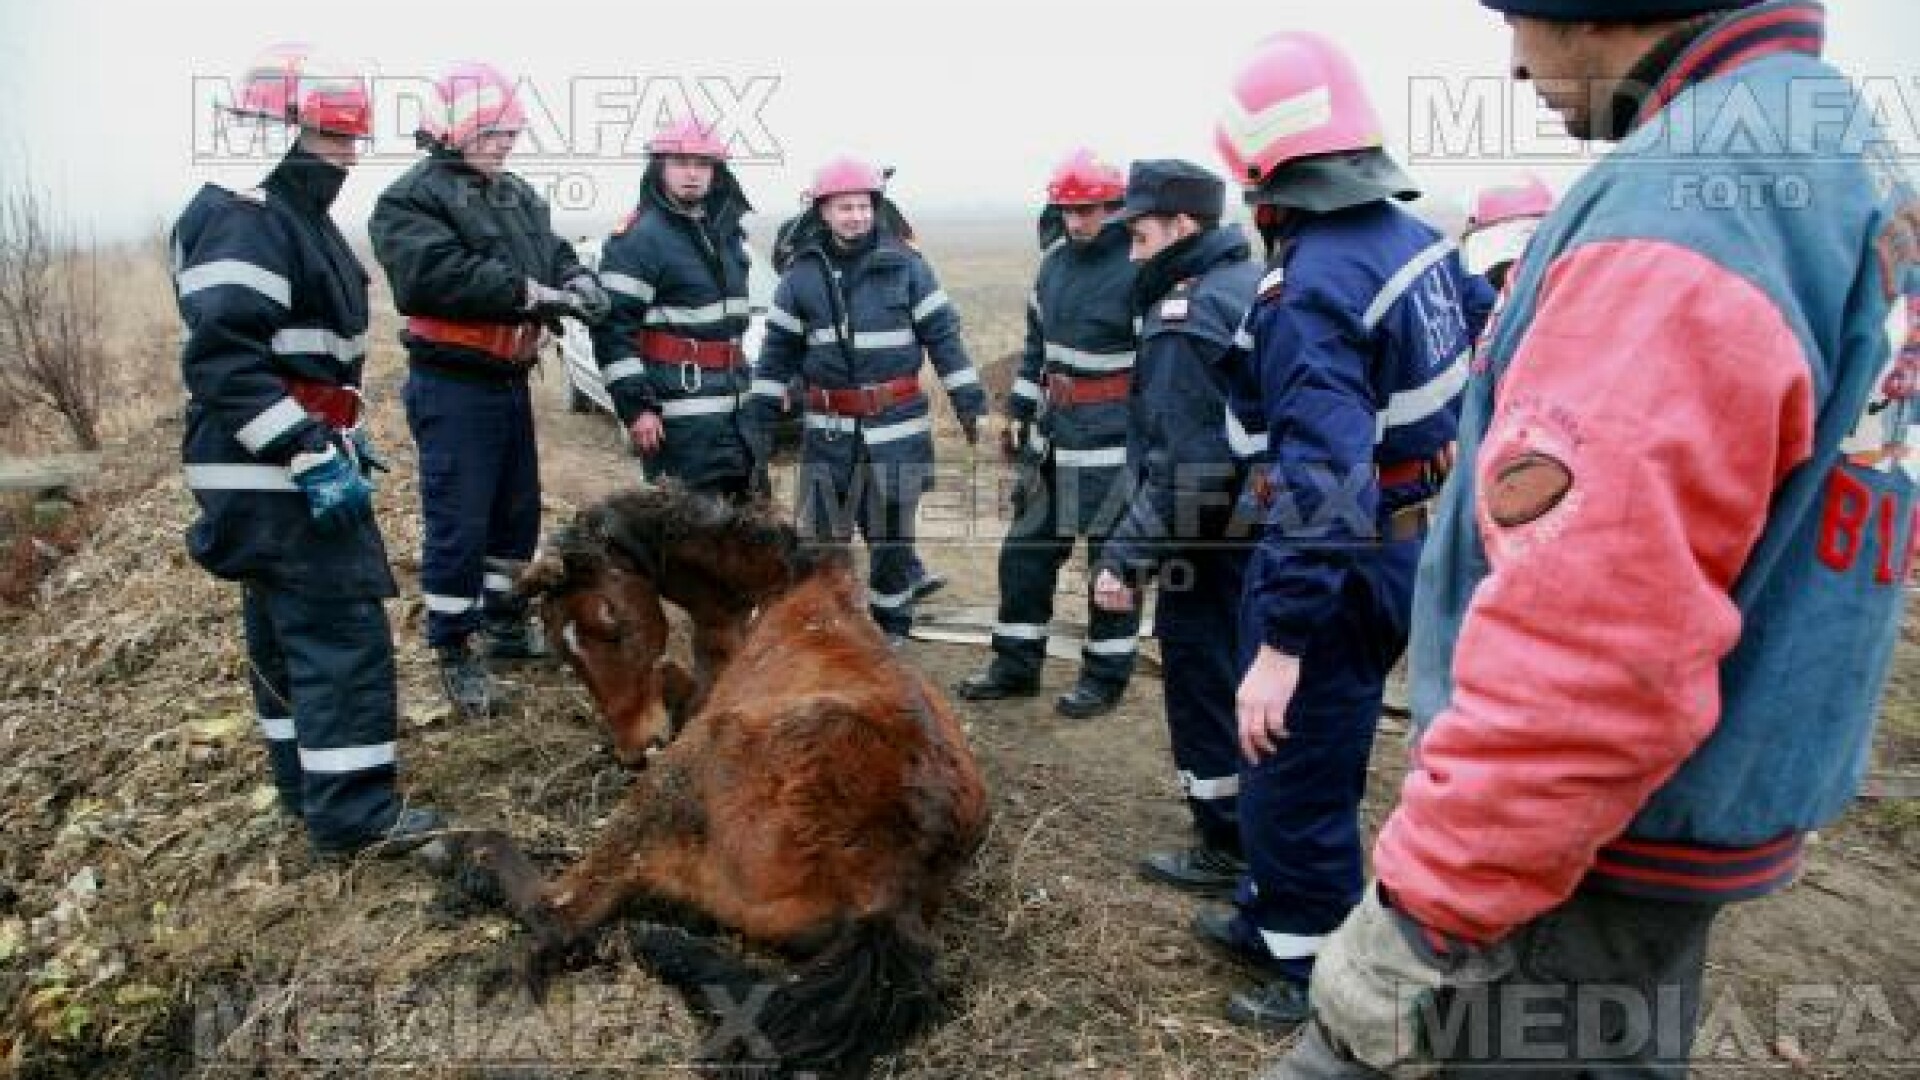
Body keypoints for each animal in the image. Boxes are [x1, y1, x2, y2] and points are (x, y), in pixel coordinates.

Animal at [451, 488, 990, 1076]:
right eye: (560, 646)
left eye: (613, 623)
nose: (634, 750)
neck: (778, 589)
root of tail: (888, 887)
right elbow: (670, 679)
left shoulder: (703, 707)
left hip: (680, 775)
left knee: (558, 913)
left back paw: (468, 855)